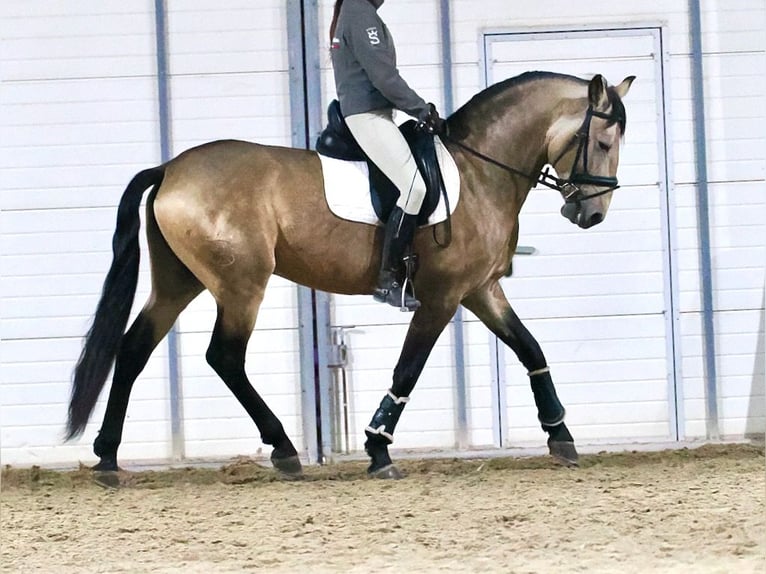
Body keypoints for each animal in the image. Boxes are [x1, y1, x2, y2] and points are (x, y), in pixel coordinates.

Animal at [67, 70, 636, 480]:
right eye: (605, 143)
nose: (592, 214)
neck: (479, 172)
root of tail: (170, 169)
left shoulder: (480, 289)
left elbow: (529, 347)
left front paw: (560, 435)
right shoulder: (442, 297)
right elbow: (408, 370)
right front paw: (377, 449)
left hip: (179, 282)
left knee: (134, 348)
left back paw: (108, 458)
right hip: (241, 284)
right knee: (224, 356)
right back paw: (284, 450)